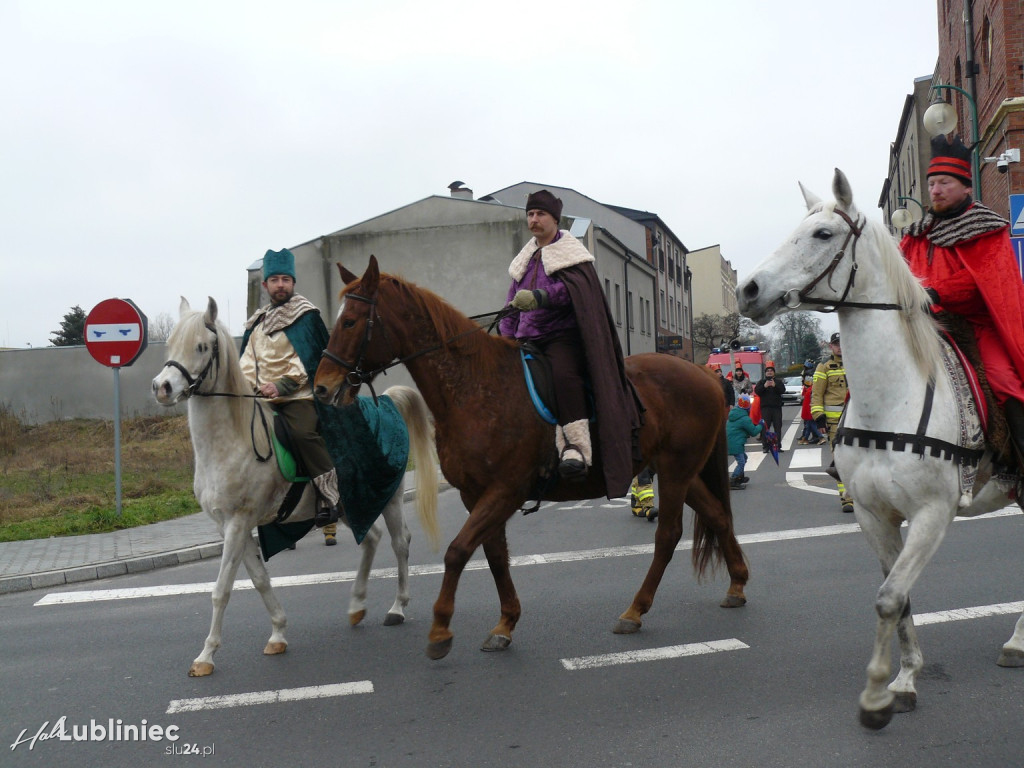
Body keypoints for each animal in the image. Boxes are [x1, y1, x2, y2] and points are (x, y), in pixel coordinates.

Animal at [150, 296, 436, 675]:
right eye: (170, 344)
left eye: (201, 346)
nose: (162, 388)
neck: (231, 441)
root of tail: (386, 401)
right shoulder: (229, 526)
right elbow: (259, 579)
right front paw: (278, 633)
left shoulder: (239, 521)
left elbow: (221, 589)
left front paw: (206, 656)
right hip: (348, 504)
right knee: (372, 538)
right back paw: (356, 606)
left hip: (388, 498)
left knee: (399, 542)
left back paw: (397, 608)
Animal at [315, 259, 749, 663]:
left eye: (350, 321)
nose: (322, 387)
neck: (475, 387)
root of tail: (706, 376)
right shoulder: (475, 495)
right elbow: (494, 555)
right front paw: (504, 624)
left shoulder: (505, 490)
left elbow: (458, 550)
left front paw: (440, 630)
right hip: (681, 472)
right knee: (717, 515)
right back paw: (737, 585)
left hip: (675, 471)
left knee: (668, 535)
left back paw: (635, 610)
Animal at [737, 169, 1024, 733]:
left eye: (823, 234)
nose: (748, 289)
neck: (890, 397)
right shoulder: (874, 515)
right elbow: (900, 594)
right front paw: (906, 678)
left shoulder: (933, 514)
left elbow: (889, 597)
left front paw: (876, 695)